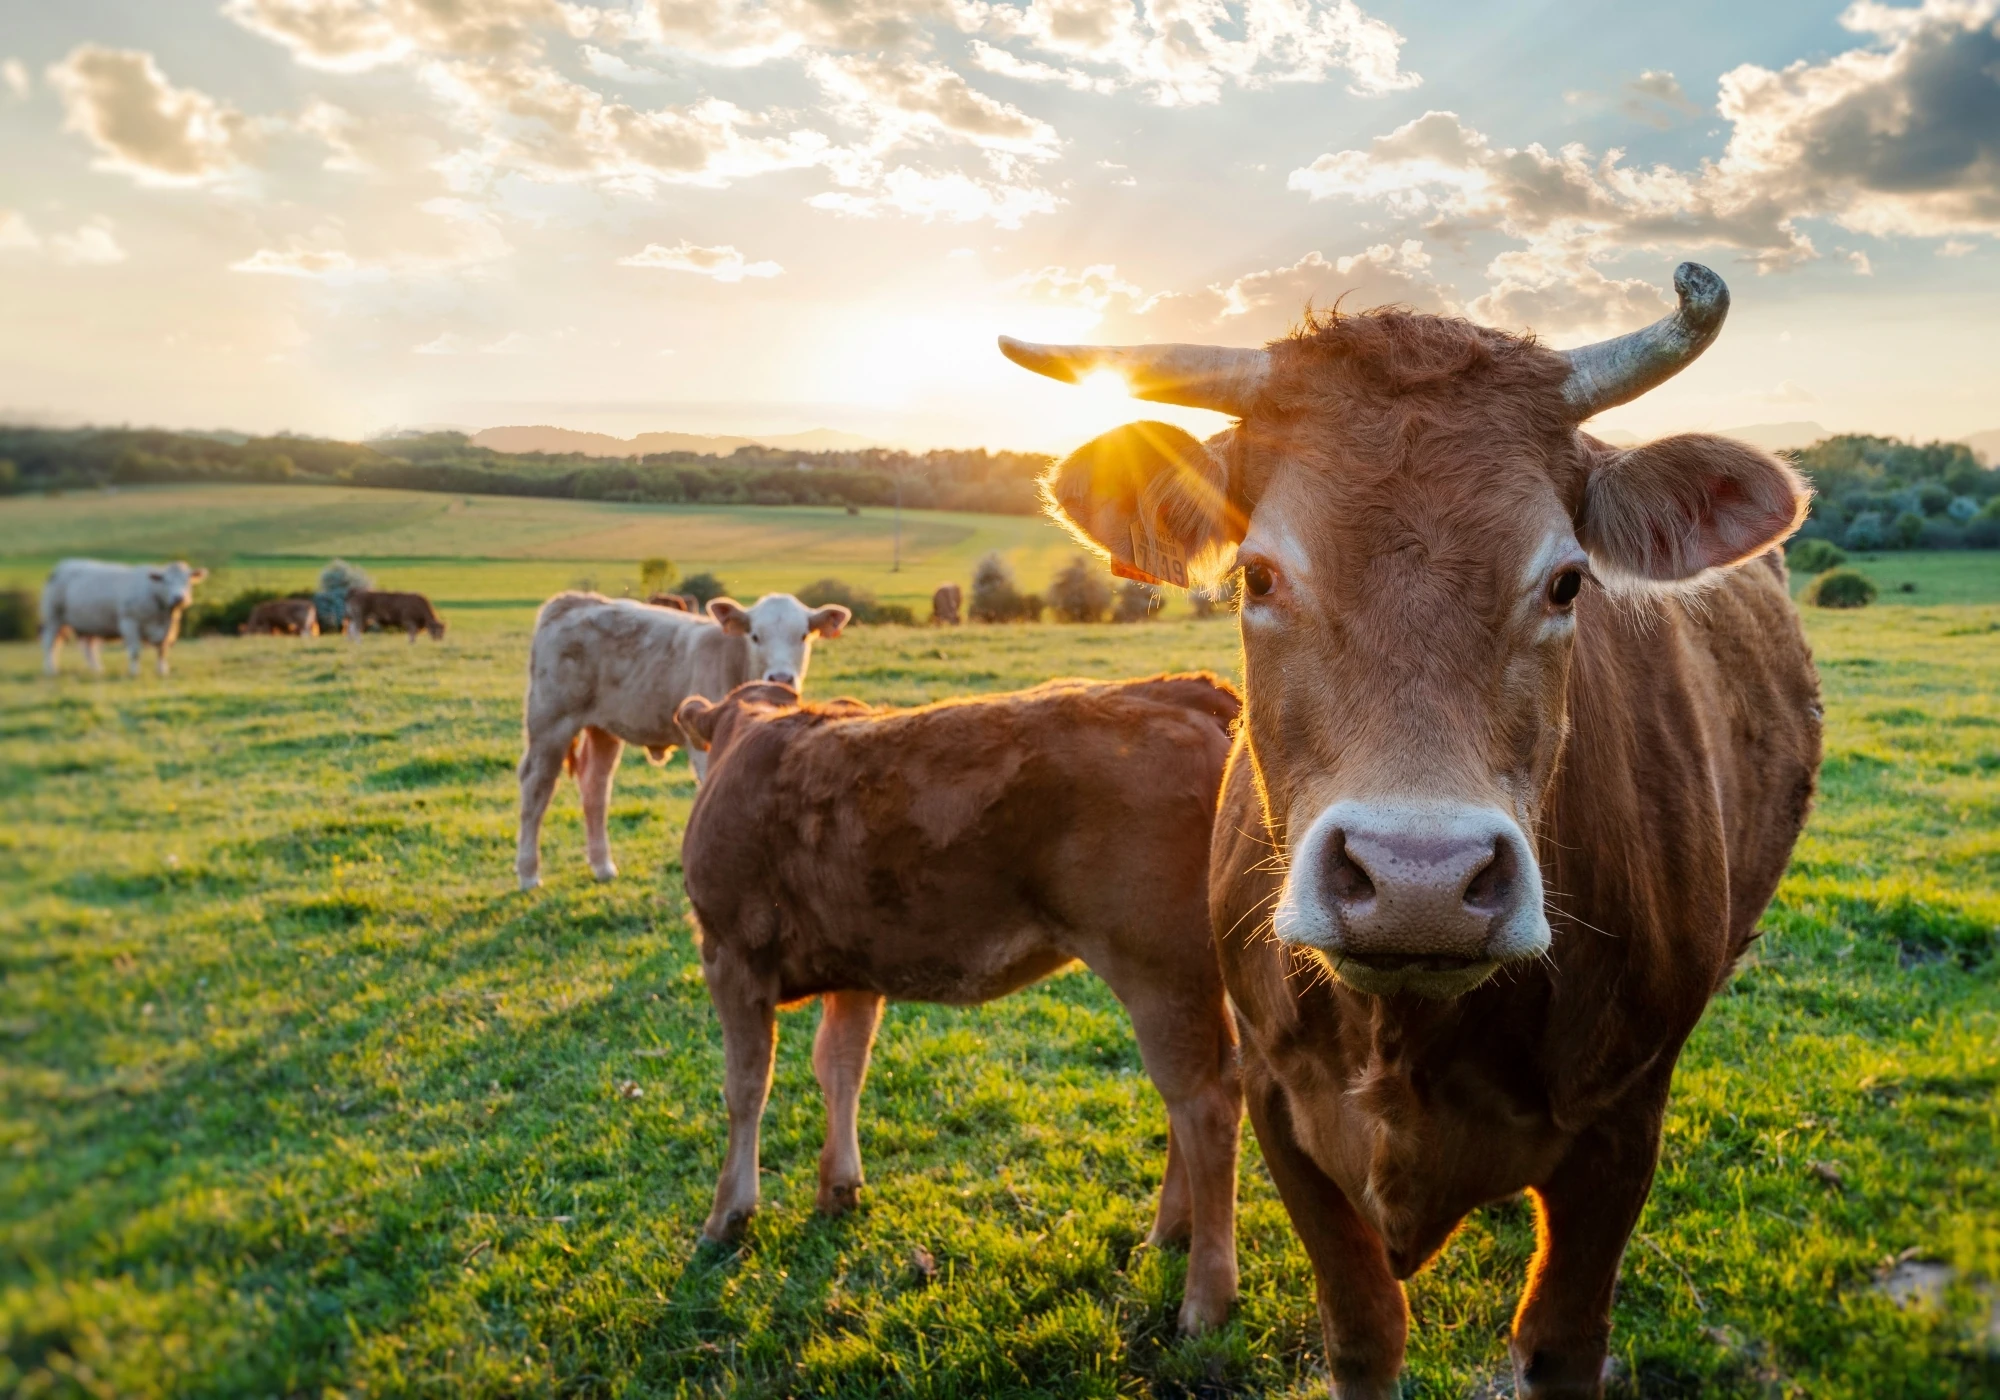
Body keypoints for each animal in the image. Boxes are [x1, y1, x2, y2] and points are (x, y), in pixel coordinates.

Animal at [41, 556, 211, 680]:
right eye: (166, 581)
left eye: (187, 580)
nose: (179, 598)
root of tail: (63, 565)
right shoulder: (129, 622)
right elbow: (135, 651)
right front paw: (134, 673)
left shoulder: (166, 630)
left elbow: (162, 651)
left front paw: (162, 671)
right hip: (53, 617)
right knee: (50, 644)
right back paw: (51, 670)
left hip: (90, 624)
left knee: (89, 648)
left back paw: (97, 670)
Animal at [512, 588, 848, 892]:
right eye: (755, 636)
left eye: (803, 636)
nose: (781, 677)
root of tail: (572, 601)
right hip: (550, 721)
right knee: (536, 787)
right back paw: (528, 874)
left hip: (602, 728)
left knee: (595, 786)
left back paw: (602, 866)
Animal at [680, 680, 1256, 1336]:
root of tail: (1176, 690)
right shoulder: (855, 971)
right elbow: (840, 1068)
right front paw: (838, 1188)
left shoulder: (728, 953)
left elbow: (746, 1086)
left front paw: (727, 1216)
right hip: (1185, 979)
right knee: (1195, 1095)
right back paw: (1169, 1233)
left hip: (1158, 970)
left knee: (1203, 1105)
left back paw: (1205, 1299)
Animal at [1000, 260, 1832, 1392]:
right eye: (1257, 575)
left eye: (1566, 579)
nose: (1418, 880)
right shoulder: (1280, 1104)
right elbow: (1361, 1327)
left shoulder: (1623, 1126)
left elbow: (1560, 1339)